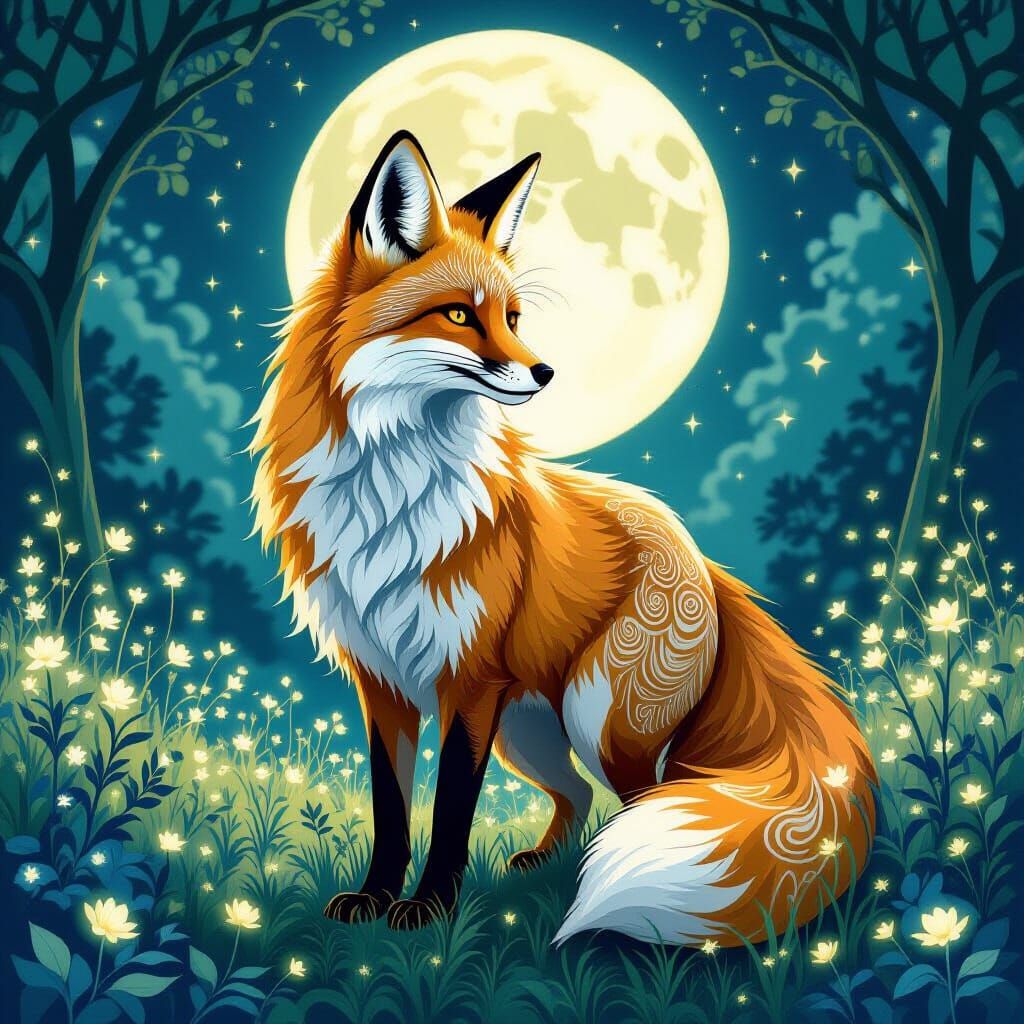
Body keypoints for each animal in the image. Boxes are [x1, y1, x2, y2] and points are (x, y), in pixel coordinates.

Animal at [250, 130, 876, 945]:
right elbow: (393, 811)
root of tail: (704, 561)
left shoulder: (468, 682)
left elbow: (449, 813)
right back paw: (548, 869)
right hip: (530, 731)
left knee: (647, 799)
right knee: (577, 798)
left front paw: (430, 909)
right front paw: (376, 897)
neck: (393, 485)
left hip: (602, 719)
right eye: (459, 315)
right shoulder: (382, 682)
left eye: (513, 317)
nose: (545, 371)